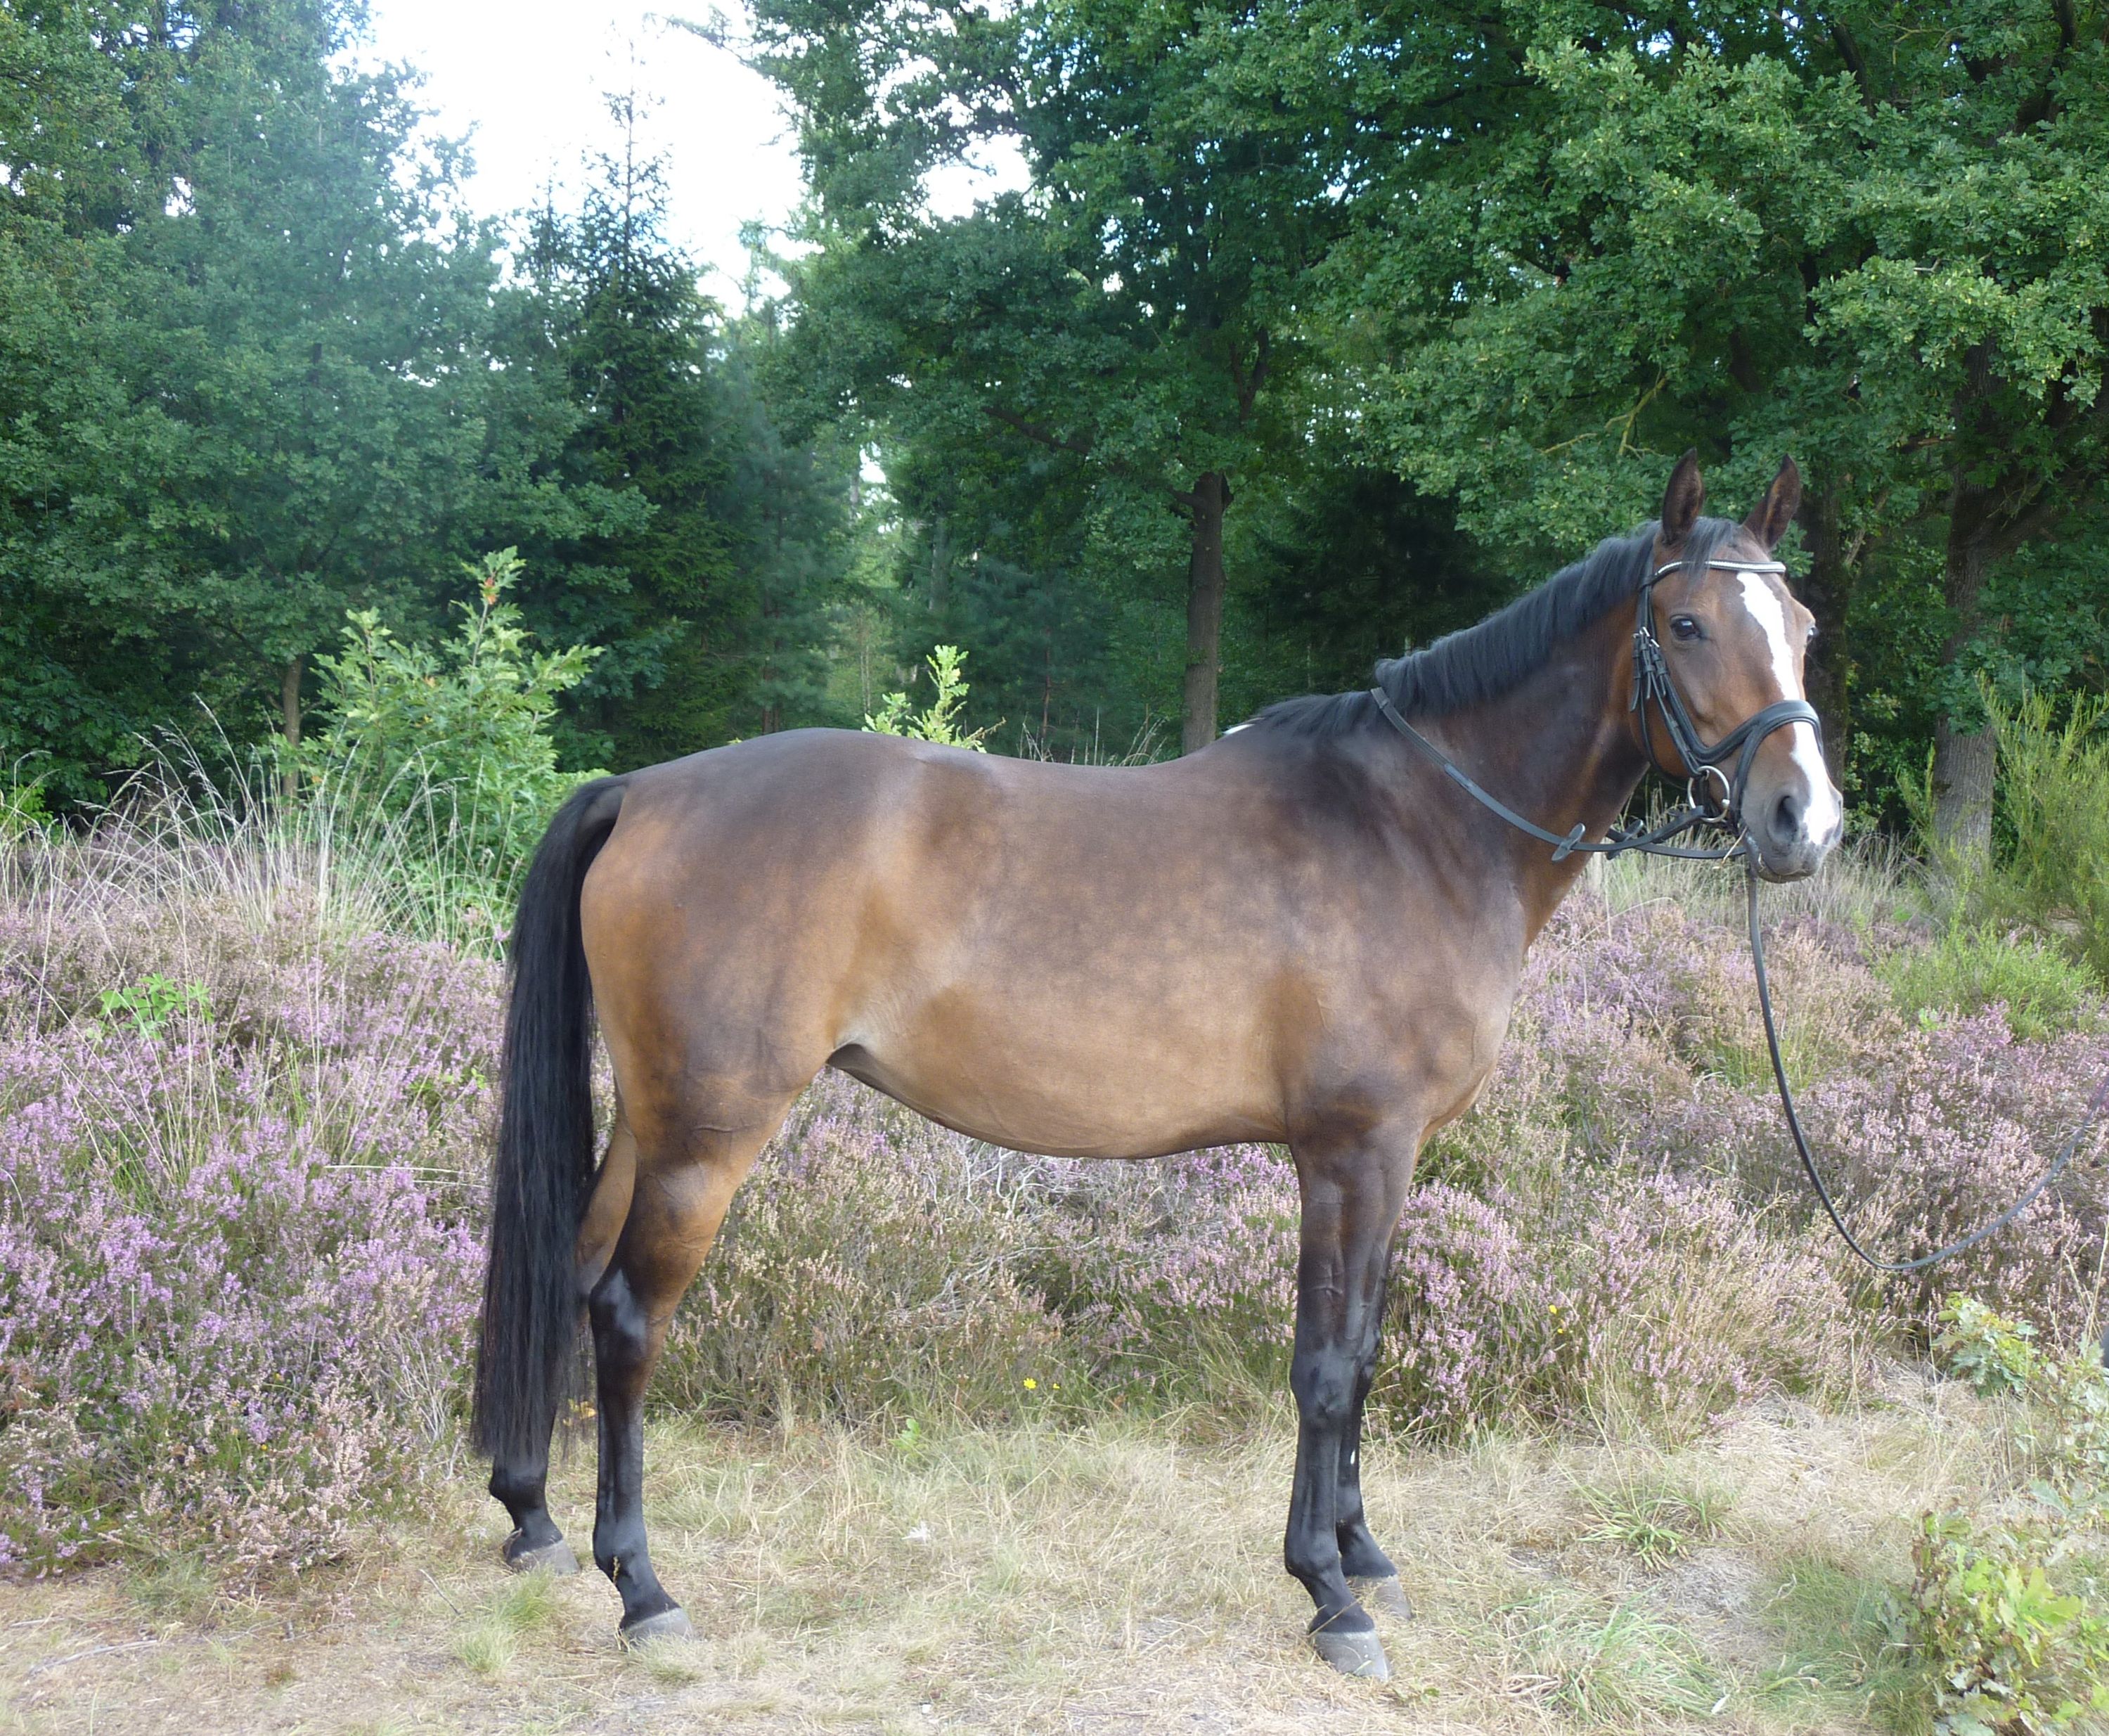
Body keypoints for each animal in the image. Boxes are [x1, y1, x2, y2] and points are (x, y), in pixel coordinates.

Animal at [472, 452, 1842, 1680]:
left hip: (652, 1118)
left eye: (1804, 627)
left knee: (570, 1267)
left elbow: (1368, 1348)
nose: (1805, 822)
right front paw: (1329, 1591)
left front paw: (1365, 1549)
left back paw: (534, 1517)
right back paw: (643, 1587)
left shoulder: (1393, 1160)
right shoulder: (1352, 1152)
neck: (1421, 827)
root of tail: (648, 790)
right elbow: (1326, 1366)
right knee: (628, 1314)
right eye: (1686, 621)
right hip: (709, 1136)